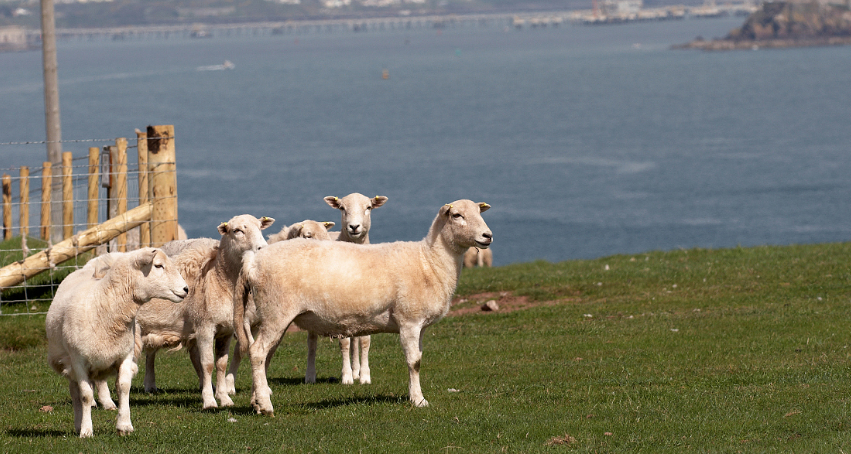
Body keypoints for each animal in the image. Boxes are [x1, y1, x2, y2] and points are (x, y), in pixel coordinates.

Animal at [45, 247, 189, 438]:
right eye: (158, 265)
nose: (186, 289)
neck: (103, 304)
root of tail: (85, 270)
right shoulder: (78, 361)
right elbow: (85, 395)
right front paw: (86, 430)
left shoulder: (125, 355)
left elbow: (124, 387)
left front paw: (124, 425)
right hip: (68, 362)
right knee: (75, 392)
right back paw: (78, 424)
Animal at [137, 215, 272, 410]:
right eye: (237, 230)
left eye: (261, 227)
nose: (262, 248)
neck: (218, 279)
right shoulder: (205, 328)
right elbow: (207, 364)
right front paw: (209, 401)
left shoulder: (226, 331)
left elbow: (221, 364)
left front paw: (224, 398)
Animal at [235, 200, 492, 414]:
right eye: (457, 215)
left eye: (480, 212)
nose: (487, 235)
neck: (429, 261)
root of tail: (253, 261)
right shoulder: (409, 320)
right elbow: (414, 362)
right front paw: (419, 400)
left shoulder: (420, 325)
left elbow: (418, 359)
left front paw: (414, 396)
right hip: (276, 312)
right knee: (258, 353)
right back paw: (266, 406)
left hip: (274, 315)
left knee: (264, 356)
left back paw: (257, 402)